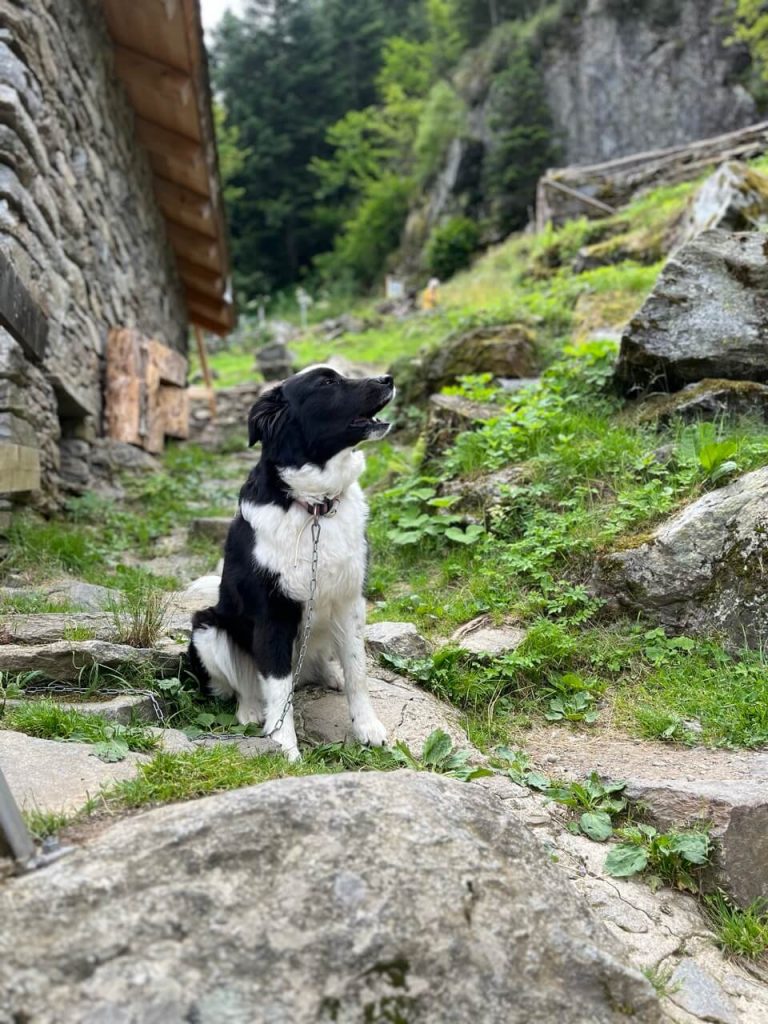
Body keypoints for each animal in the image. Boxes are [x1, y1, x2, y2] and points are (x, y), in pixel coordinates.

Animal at [185, 366, 391, 761]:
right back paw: (251, 710)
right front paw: (284, 745)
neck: (315, 507)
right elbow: (279, 689)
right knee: (244, 685)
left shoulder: (350, 602)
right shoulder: (273, 614)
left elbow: (358, 671)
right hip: (208, 627)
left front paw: (368, 727)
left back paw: (329, 675)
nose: (388, 378)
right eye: (327, 382)